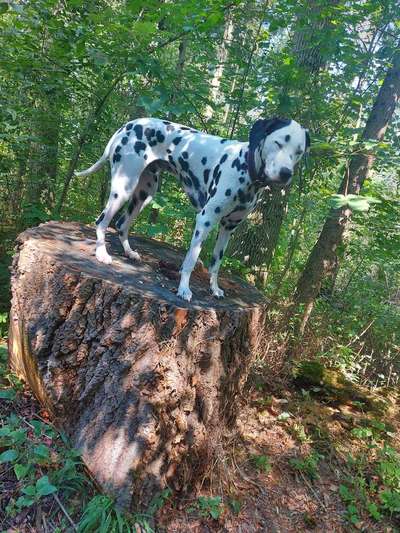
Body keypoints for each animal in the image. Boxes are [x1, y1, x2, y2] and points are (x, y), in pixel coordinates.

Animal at [76, 116, 310, 300]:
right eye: (278, 143)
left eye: (299, 151)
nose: (286, 173)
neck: (246, 167)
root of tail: (128, 125)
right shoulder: (205, 219)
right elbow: (191, 259)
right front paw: (184, 289)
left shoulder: (228, 228)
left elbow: (216, 263)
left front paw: (214, 288)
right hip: (123, 188)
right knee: (102, 221)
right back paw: (102, 253)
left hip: (144, 194)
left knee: (122, 224)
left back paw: (129, 252)